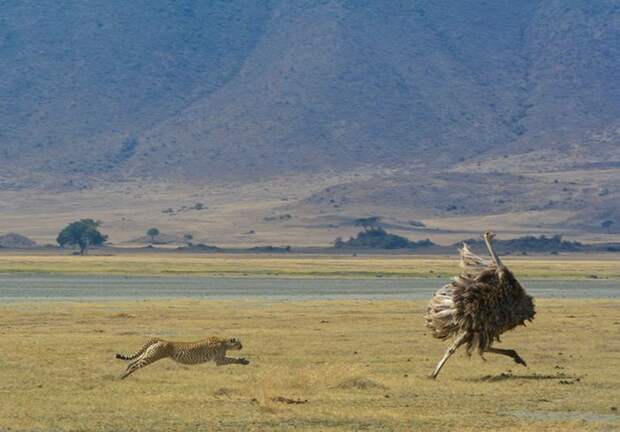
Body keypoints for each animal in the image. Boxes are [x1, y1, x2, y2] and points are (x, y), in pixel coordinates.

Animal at [115, 338, 251, 378]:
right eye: (239, 343)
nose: (242, 346)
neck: (224, 342)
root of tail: (159, 339)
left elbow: (232, 358)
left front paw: (244, 360)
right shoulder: (220, 360)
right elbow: (232, 359)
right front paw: (244, 361)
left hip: (148, 354)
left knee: (132, 362)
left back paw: (124, 372)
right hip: (152, 357)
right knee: (135, 365)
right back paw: (123, 376)